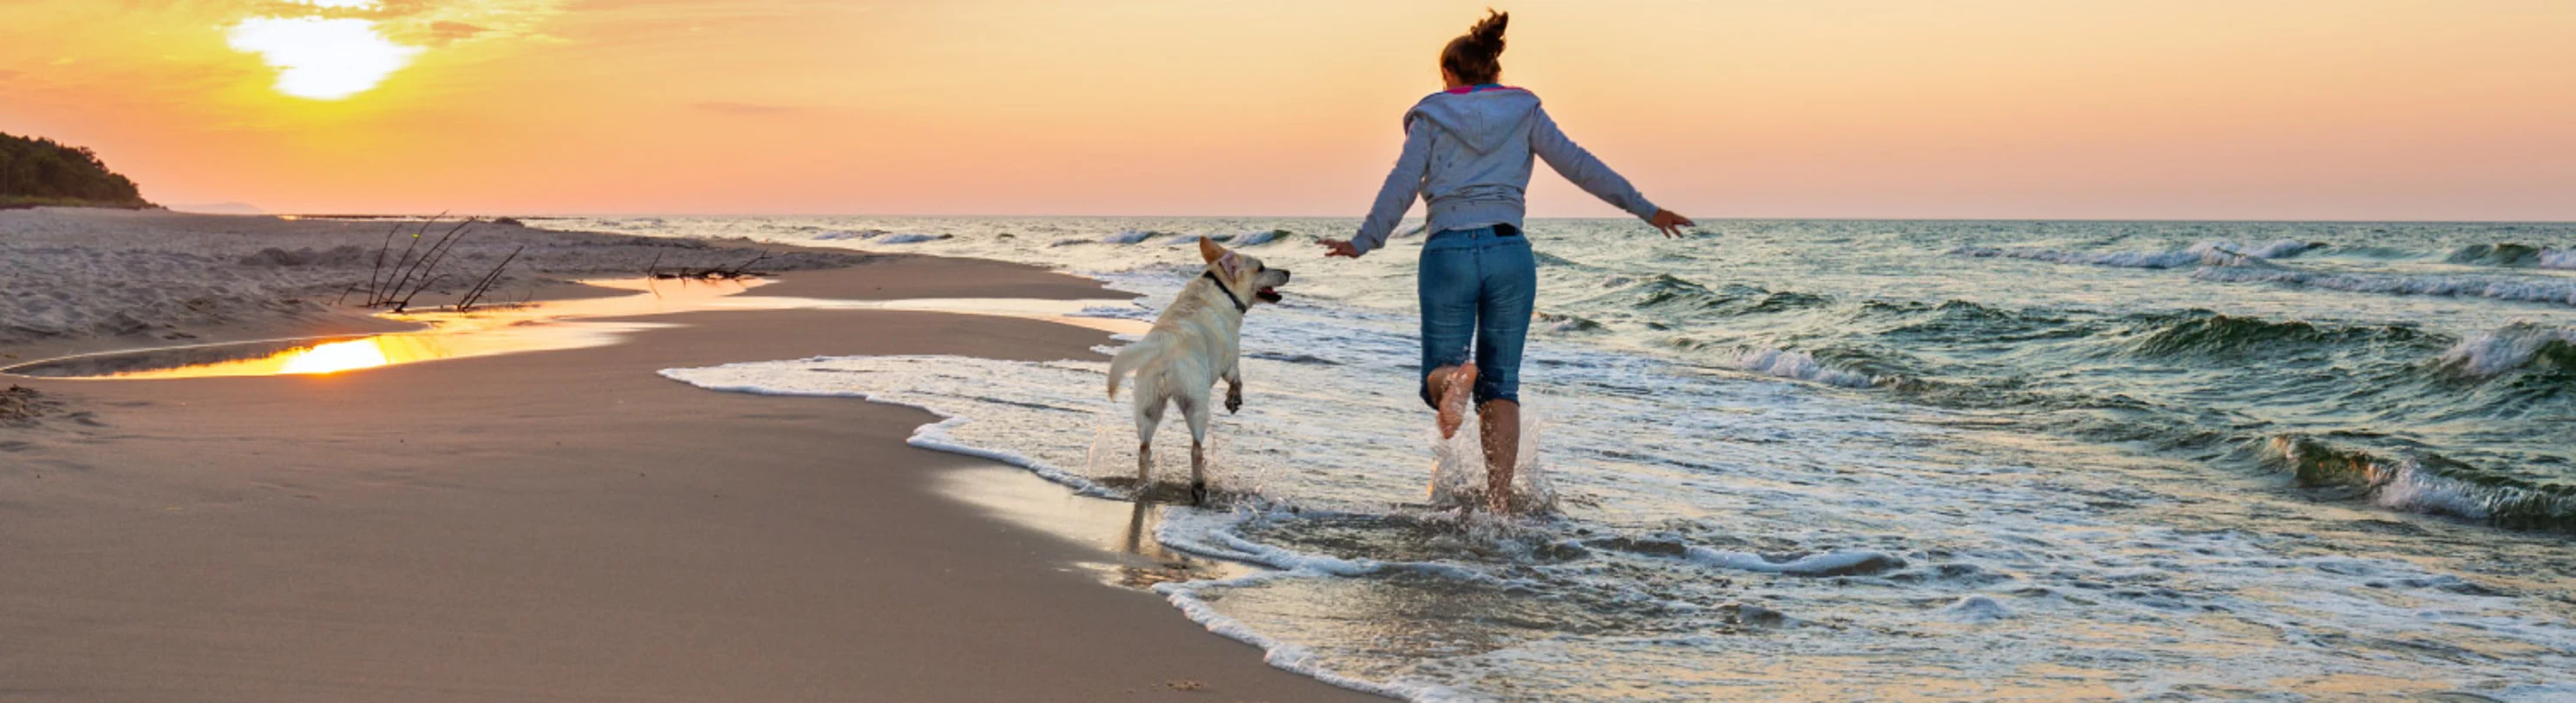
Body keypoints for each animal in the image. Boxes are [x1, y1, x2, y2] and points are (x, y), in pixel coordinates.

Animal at [1113, 238, 1298, 499]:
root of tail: (1164, 349)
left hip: (1147, 405)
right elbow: (1237, 379)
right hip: (1197, 404)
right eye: (1261, 268)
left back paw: (1141, 484)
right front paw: (1233, 400)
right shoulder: (1230, 359)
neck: (1222, 288)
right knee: (1196, 448)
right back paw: (1199, 486)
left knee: (1144, 449)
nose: (1288, 272)